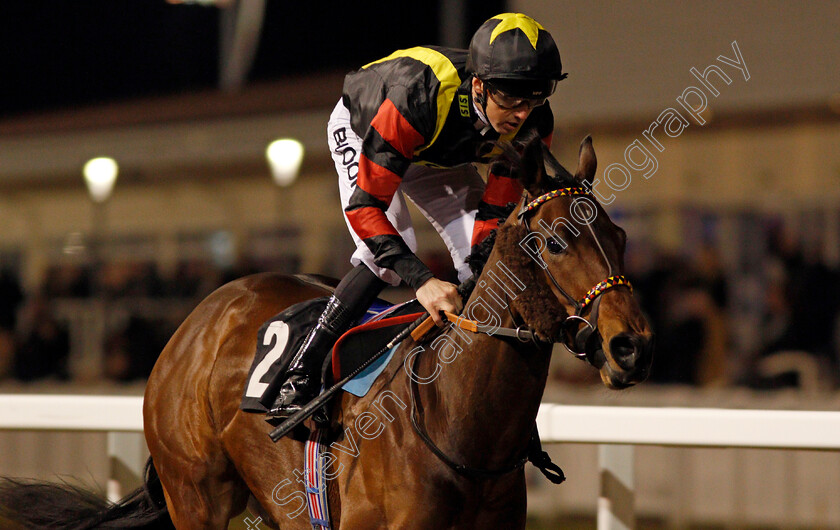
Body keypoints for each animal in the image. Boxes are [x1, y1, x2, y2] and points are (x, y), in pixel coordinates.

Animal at [0, 134, 656, 524]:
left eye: (621, 235)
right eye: (555, 241)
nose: (632, 346)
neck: (457, 418)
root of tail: (200, 317)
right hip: (196, 491)